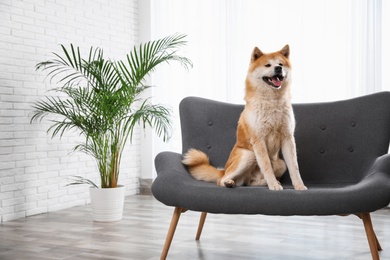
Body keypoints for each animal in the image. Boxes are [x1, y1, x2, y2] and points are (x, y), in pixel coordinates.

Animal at [183, 45, 308, 191]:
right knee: (221, 180)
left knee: (250, 182)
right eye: (268, 65)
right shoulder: (259, 140)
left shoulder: (287, 137)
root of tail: (223, 169)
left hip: (280, 164)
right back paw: (229, 182)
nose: (278, 68)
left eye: (281, 64)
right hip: (249, 155)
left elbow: (294, 167)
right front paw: (273, 185)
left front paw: (299, 185)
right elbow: (266, 166)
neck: (272, 101)